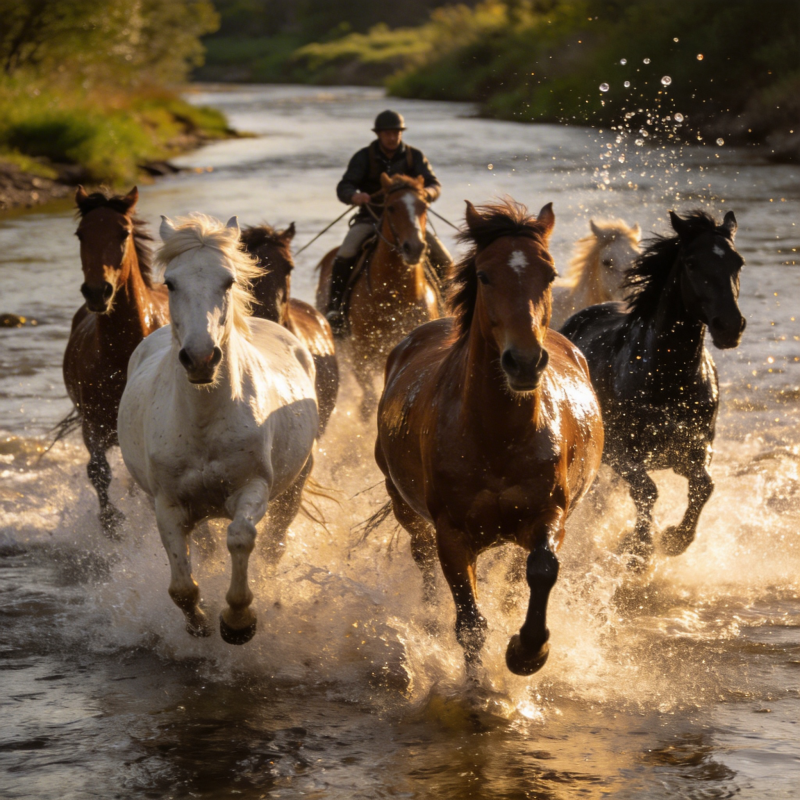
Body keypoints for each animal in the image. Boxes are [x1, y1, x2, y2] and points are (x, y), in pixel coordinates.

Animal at [61, 186, 169, 538]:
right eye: (81, 233)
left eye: (124, 232)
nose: (97, 292)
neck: (122, 354)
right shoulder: (92, 424)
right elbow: (97, 470)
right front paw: (112, 523)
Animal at [118, 214, 318, 644]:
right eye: (170, 282)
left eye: (227, 281)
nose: (200, 358)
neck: (203, 421)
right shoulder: (168, 504)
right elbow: (181, 585)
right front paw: (199, 622)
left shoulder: (253, 488)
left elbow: (241, 538)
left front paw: (238, 621)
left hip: (294, 485)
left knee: (272, 543)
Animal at [316, 173, 440, 418]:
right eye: (391, 207)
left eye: (423, 206)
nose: (414, 248)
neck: (394, 295)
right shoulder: (360, 355)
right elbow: (368, 401)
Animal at [374, 199, 604, 675]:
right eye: (484, 275)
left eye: (549, 274)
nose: (525, 361)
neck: (498, 437)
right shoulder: (452, 535)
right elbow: (469, 622)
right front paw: (477, 686)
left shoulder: (549, 514)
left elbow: (542, 569)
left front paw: (527, 651)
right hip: (402, 503)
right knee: (422, 558)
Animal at [560, 209, 745, 570]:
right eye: (691, 263)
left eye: (738, 262)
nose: (730, 327)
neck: (668, 377)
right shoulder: (620, 451)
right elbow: (646, 490)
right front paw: (640, 547)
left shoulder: (692, 450)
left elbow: (704, 485)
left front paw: (674, 539)